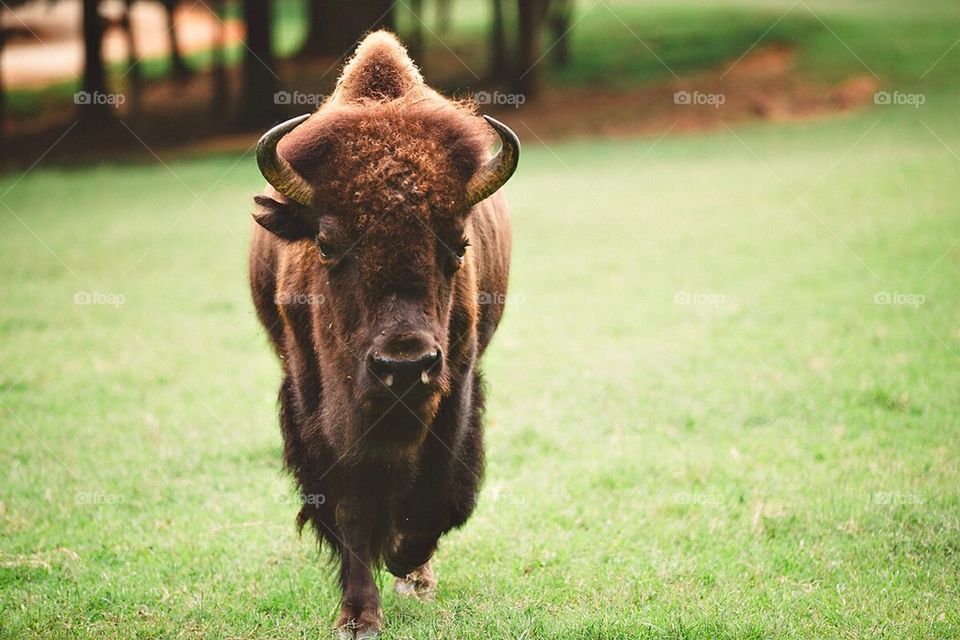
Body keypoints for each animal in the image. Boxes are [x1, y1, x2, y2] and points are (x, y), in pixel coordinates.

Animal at [248, 31, 519, 637]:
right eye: (326, 245)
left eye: (459, 244)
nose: (404, 365)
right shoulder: (320, 403)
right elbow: (350, 503)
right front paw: (358, 615)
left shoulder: (454, 387)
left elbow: (437, 491)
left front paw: (404, 563)